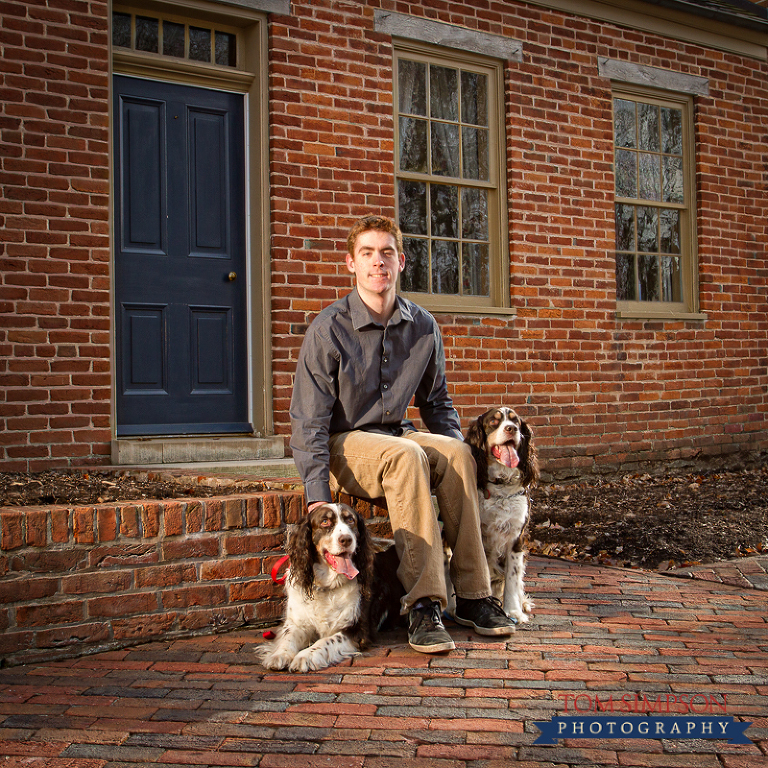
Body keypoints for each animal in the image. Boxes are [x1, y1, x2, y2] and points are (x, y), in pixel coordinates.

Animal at [258, 500, 376, 668]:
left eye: (350, 520)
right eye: (325, 522)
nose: (346, 539)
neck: (327, 586)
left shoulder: (358, 629)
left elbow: (327, 640)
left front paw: (305, 656)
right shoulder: (297, 621)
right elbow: (288, 636)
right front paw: (279, 654)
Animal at [462, 408, 540, 624]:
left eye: (516, 422)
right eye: (494, 422)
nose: (511, 429)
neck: (500, 484)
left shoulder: (516, 537)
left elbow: (513, 579)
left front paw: (513, 611)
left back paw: (522, 604)